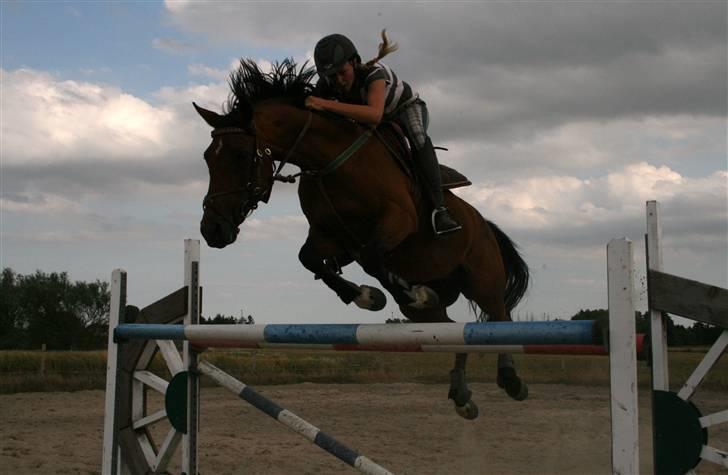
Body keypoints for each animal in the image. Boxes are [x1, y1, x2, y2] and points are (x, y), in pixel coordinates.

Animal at [193, 59, 528, 420]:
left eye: (240, 156)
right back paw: (461, 392)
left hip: (482, 278)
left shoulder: (398, 220)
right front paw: (367, 296)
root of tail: (484, 223)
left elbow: (371, 257)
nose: (211, 230)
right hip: (433, 303)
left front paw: (393, 293)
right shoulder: (328, 236)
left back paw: (510, 378)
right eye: (207, 158)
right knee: (451, 329)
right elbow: (310, 259)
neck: (328, 162)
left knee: (499, 316)